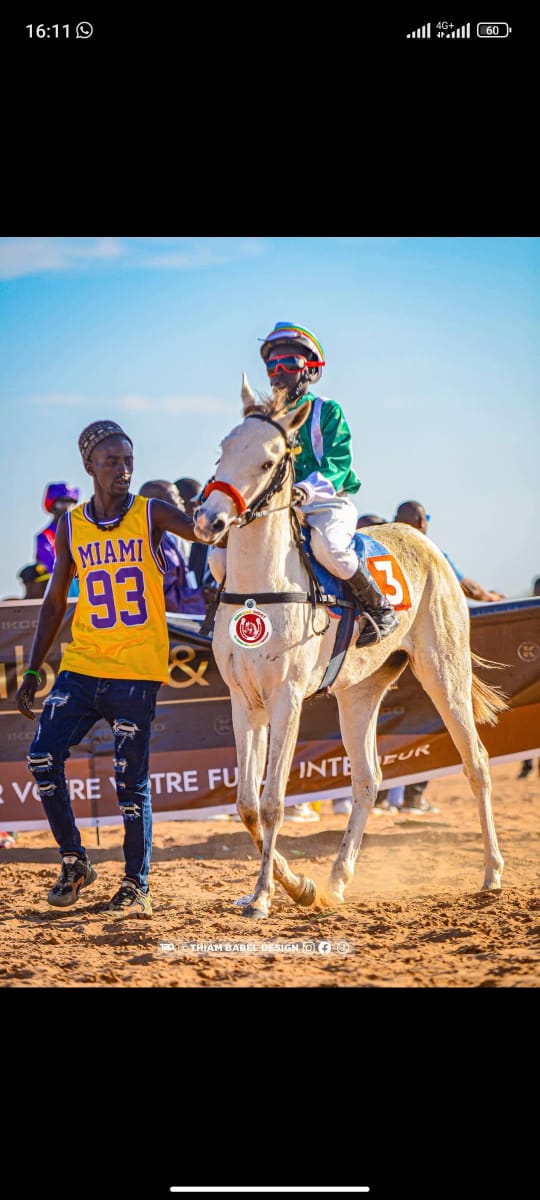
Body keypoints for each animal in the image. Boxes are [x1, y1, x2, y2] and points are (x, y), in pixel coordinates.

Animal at [193, 377, 507, 919]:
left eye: (268, 461)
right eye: (222, 449)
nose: (209, 520)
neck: (263, 585)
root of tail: (424, 542)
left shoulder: (286, 698)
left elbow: (272, 801)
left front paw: (264, 896)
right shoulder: (243, 699)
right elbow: (247, 804)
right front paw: (297, 886)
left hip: (444, 676)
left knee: (477, 762)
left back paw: (491, 873)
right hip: (358, 695)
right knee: (367, 779)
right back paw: (337, 879)